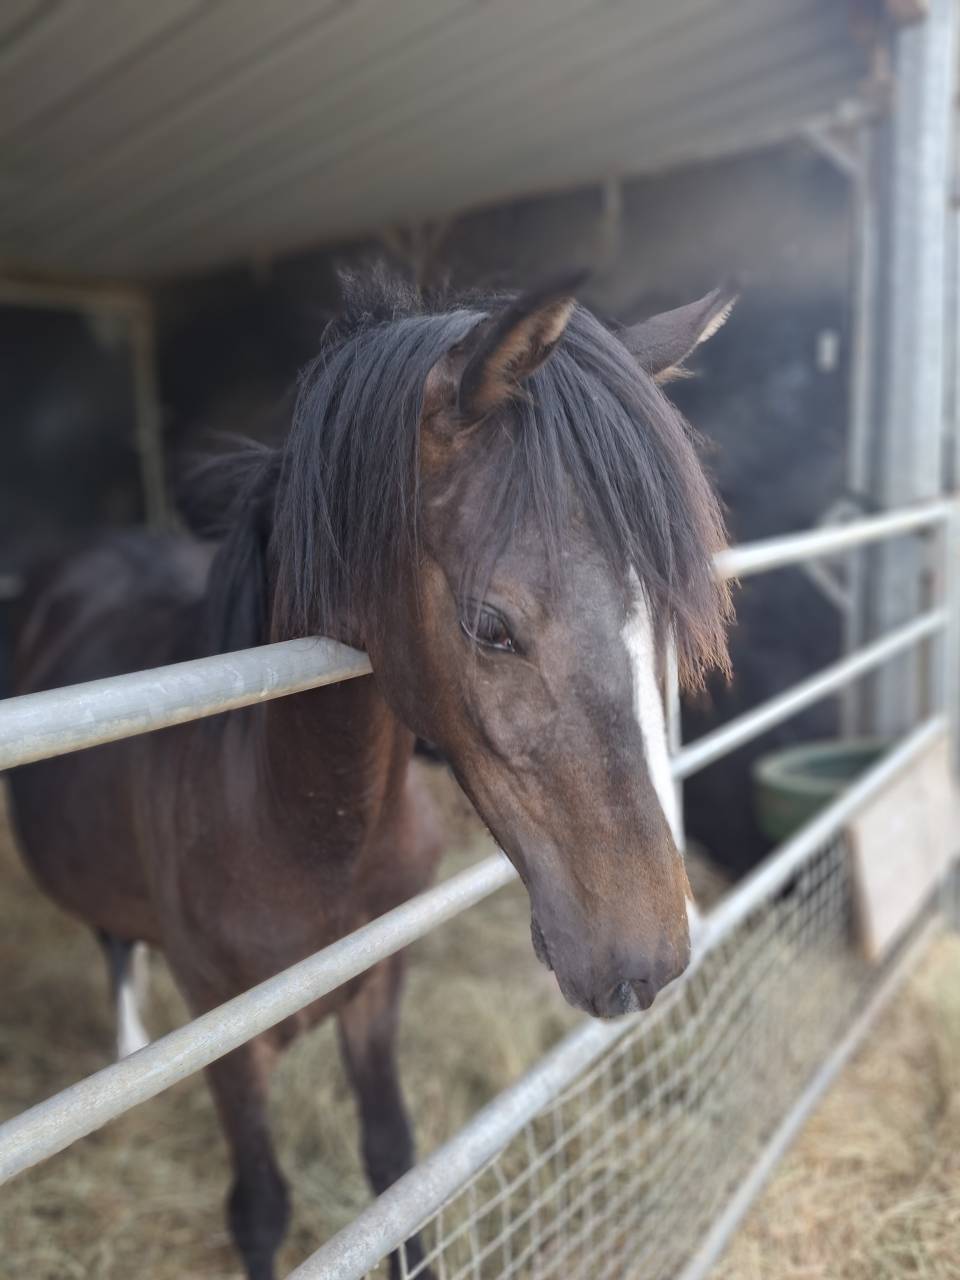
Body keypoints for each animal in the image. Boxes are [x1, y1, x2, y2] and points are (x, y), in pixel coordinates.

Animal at [6, 269, 734, 1280]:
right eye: (490, 626)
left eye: (655, 615)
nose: (649, 960)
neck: (303, 825)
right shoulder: (229, 1036)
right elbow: (261, 1209)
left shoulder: (380, 988)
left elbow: (393, 1174)